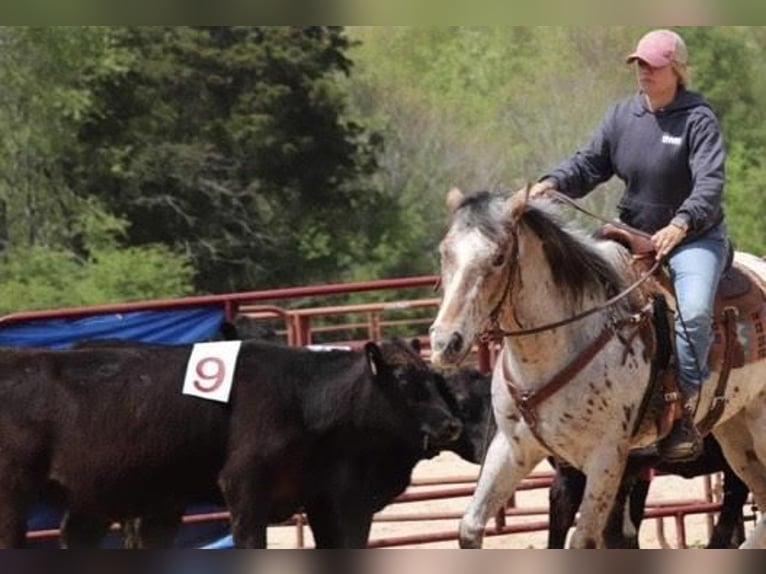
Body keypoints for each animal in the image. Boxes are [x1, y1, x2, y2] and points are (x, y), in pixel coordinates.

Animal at [0, 340, 462, 552]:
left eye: (436, 380)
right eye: (405, 382)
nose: (451, 425)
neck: (303, 400)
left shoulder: (323, 497)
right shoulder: (245, 487)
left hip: (93, 499)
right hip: (14, 495)